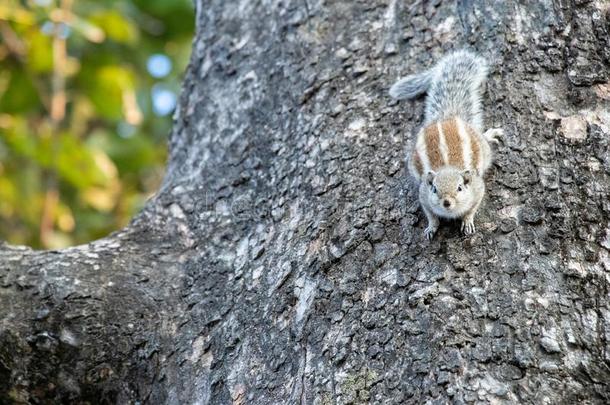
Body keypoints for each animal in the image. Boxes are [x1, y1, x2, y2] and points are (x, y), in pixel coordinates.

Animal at [388, 50, 502, 240]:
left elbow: (472, 208)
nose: (447, 202)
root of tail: (447, 116)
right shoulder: (424, 195)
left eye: (460, 187)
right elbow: (430, 214)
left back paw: (489, 134)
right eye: (434, 189)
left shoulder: (477, 189)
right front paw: (431, 227)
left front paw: (468, 221)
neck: (448, 167)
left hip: (484, 150)